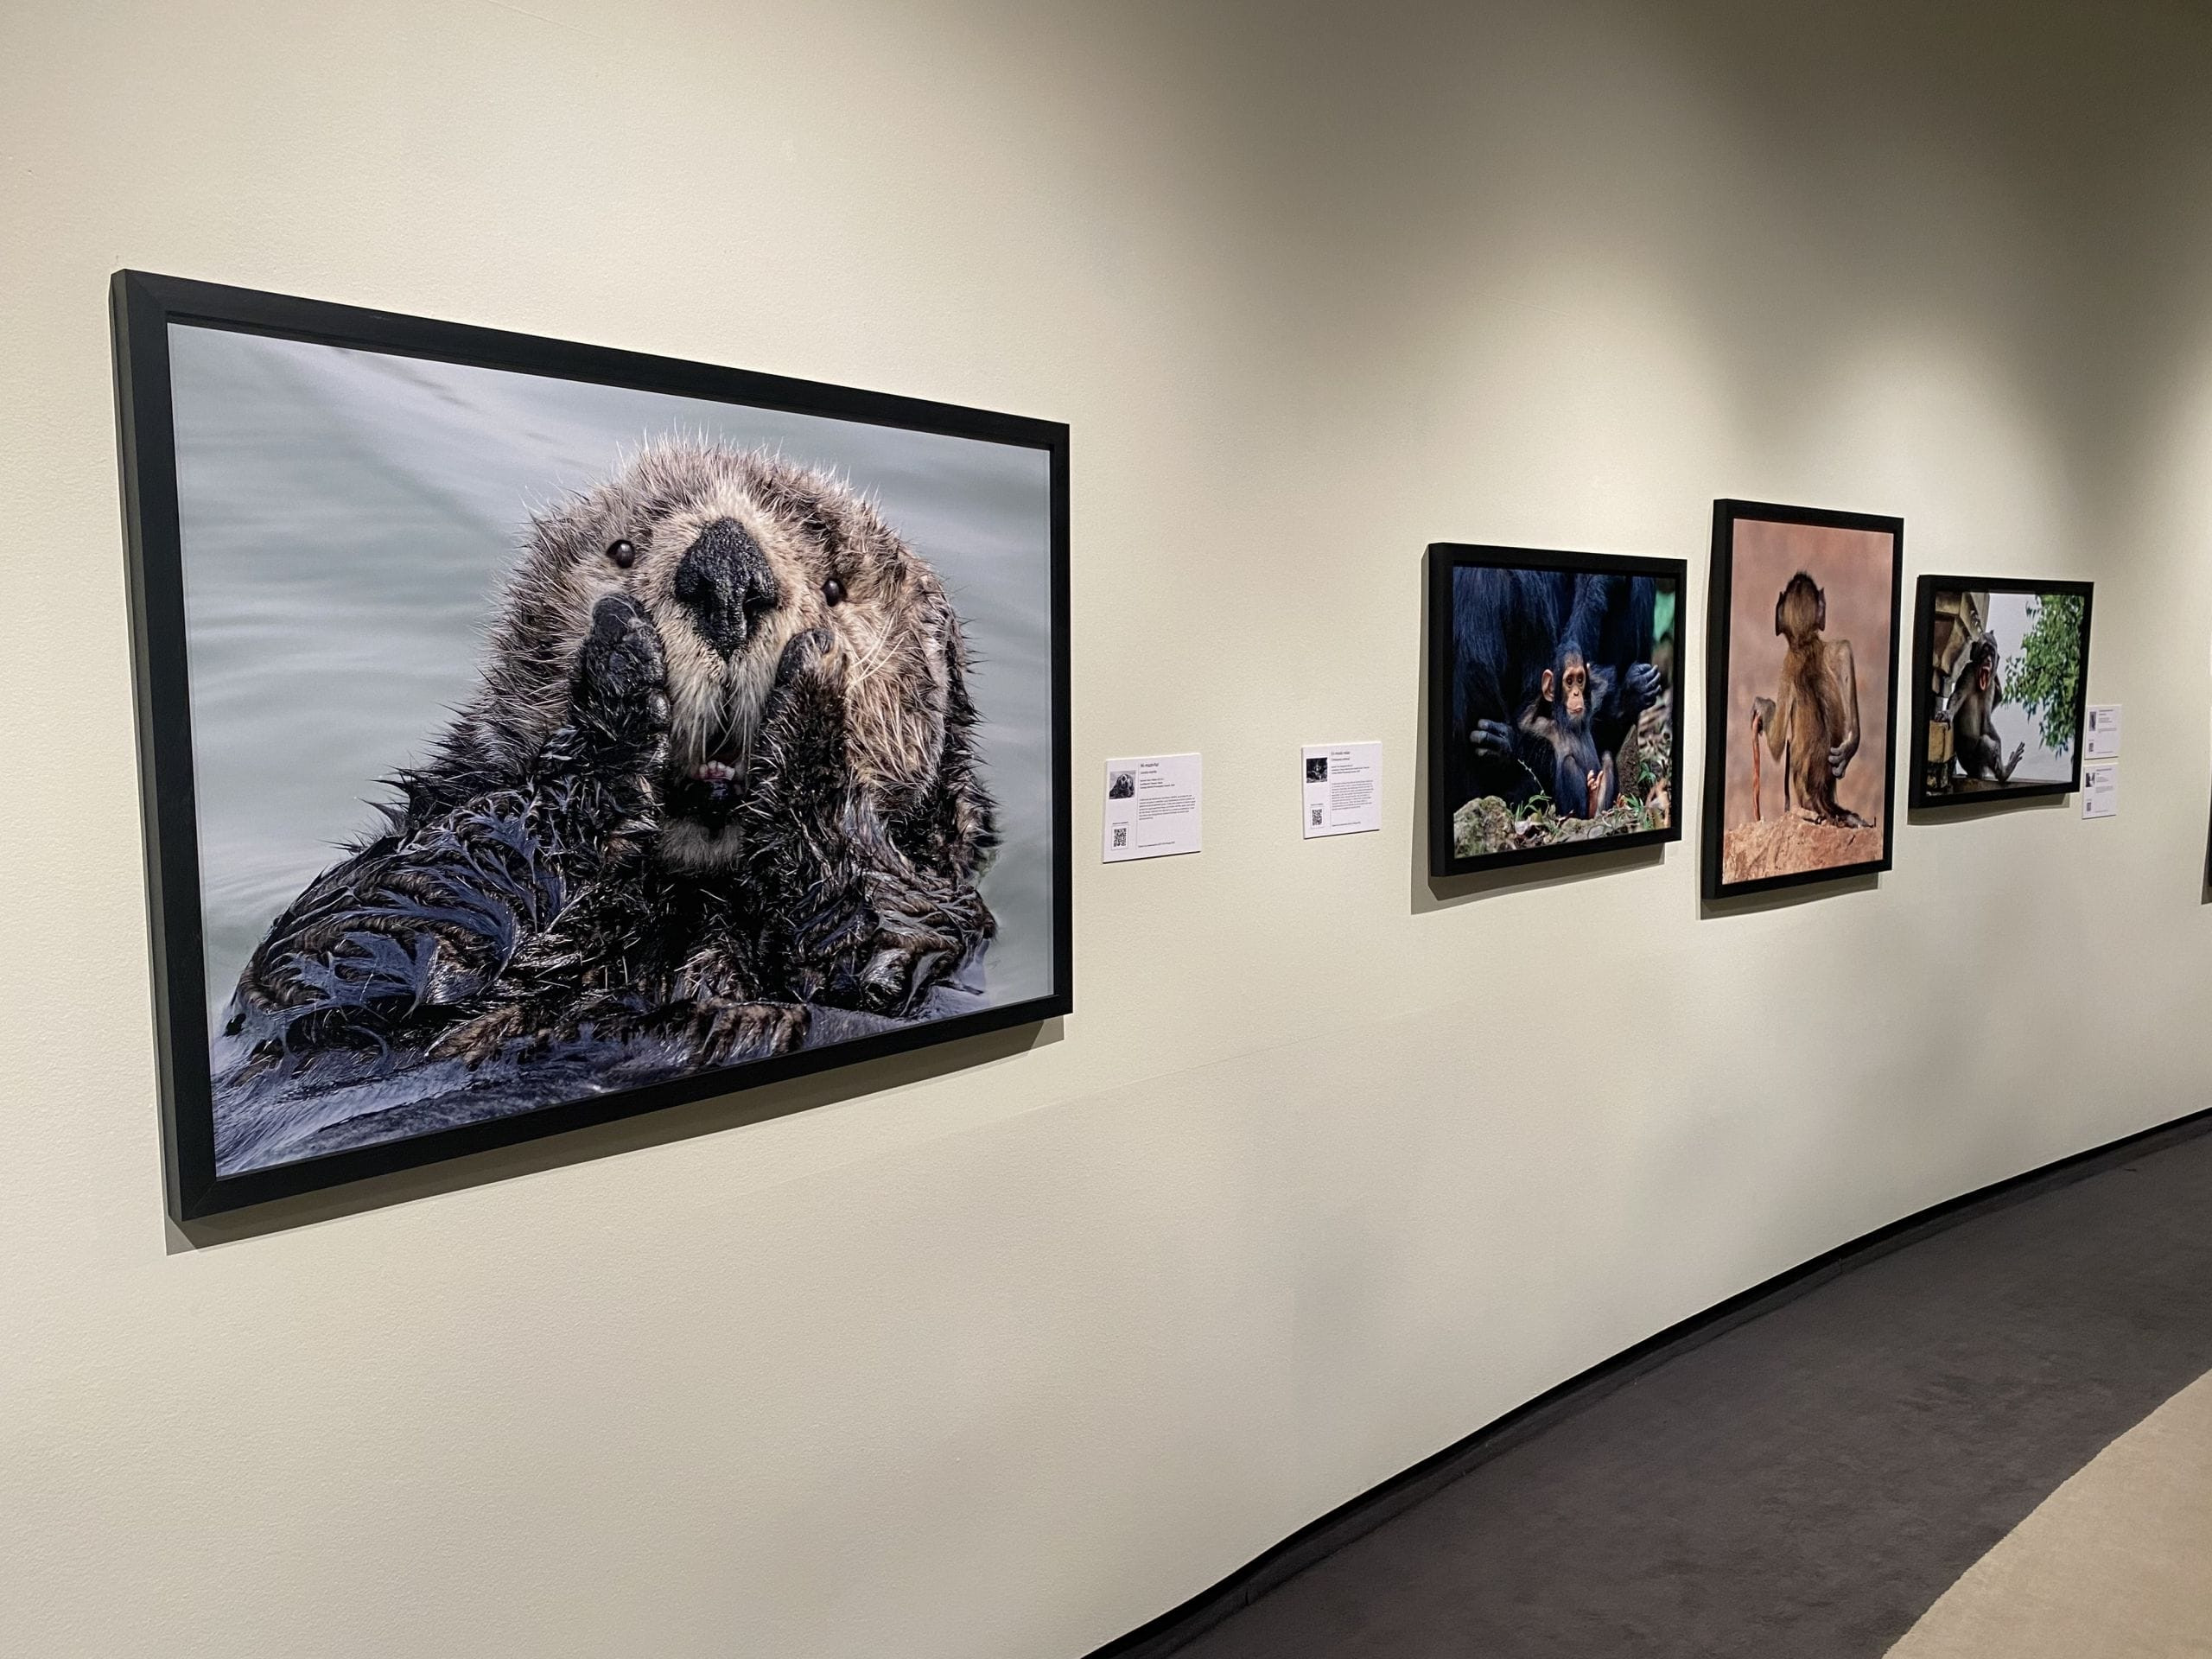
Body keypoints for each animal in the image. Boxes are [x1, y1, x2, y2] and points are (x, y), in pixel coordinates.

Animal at [219, 442, 1000, 1079]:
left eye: (838, 588)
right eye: (623, 551)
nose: (727, 572)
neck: (691, 899)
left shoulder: (943, 938)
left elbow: (880, 945)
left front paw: (816, 694)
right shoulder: (334, 945)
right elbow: (348, 942)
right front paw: (619, 672)